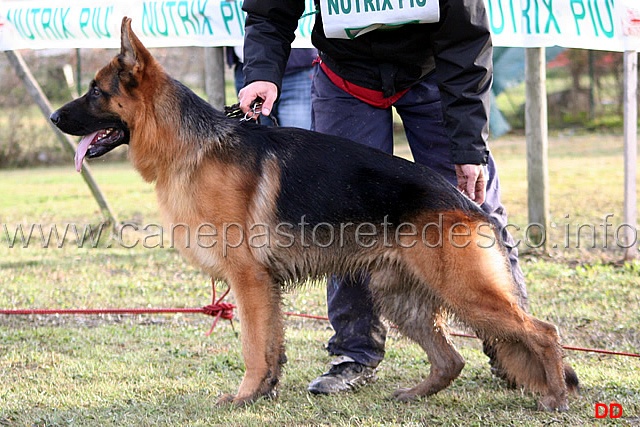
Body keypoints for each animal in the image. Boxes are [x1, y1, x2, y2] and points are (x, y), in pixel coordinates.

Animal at [51, 18, 580, 412]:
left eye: (95, 92)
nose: (54, 119)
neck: (190, 146)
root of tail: (462, 200)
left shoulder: (249, 279)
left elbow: (252, 346)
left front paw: (244, 396)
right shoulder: (264, 287)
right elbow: (269, 345)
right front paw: (263, 393)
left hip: (465, 291)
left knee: (543, 332)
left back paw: (555, 397)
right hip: (399, 298)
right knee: (451, 359)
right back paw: (414, 394)